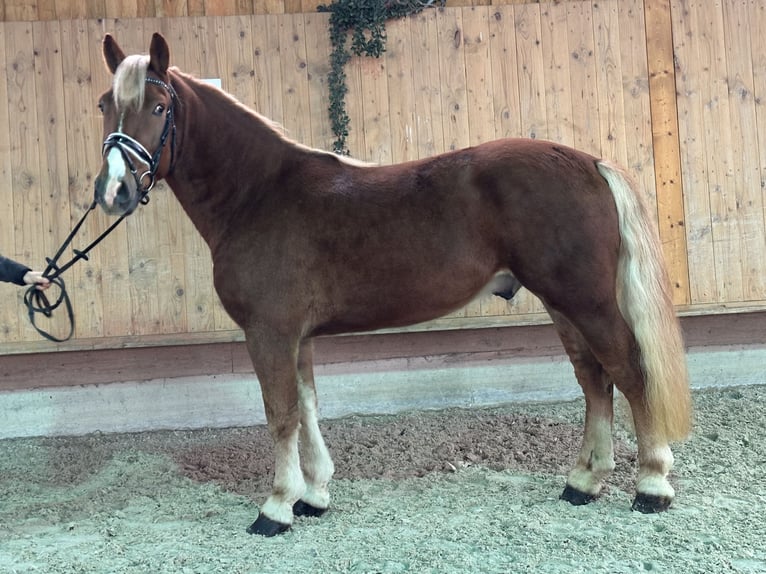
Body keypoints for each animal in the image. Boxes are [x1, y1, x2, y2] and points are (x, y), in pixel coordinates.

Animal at [96, 33, 696, 536]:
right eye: (105, 104)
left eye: (159, 107)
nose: (114, 191)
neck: (261, 192)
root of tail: (590, 162)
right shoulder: (298, 337)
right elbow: (308, 406)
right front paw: (314, 495)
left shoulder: (270, 332)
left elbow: (281, 414)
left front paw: (276, 507)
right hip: (562, 304)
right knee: (594, 380)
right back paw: (583, 483)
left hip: (587, 302)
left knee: (629, 371)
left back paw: (651, 485)